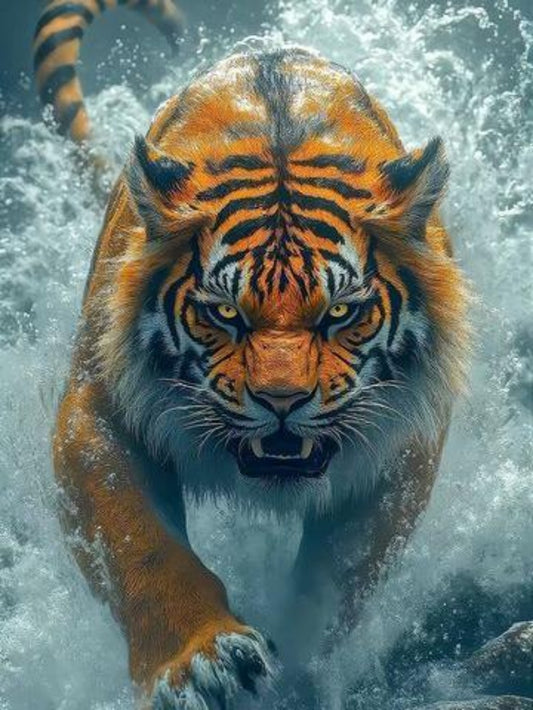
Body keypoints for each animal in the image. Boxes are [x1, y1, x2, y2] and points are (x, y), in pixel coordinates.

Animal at [35, 1, 470, 707]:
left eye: (339, 313)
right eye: (224, 313)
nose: (282, 402)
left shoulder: (401, 444)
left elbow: (335, 583)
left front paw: (302, 670)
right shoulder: (97, 408)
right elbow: (140, 544)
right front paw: (202, 661)